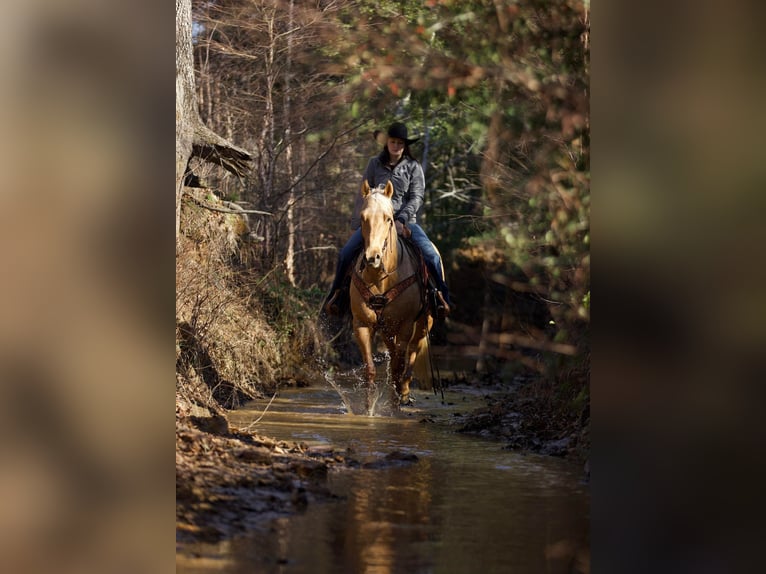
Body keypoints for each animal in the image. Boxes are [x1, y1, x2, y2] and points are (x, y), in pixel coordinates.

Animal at [352, 180, 436, 414]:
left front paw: (394, 405)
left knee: (412, 352)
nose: (372, 257)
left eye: (388, 218)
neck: (380, 278)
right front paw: (368, 409)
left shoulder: (406, 325)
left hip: (423, 323)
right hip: (388, 329)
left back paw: (404, 393)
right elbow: (370, 369)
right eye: (362, 217)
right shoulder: (361, 324)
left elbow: (399, 365)